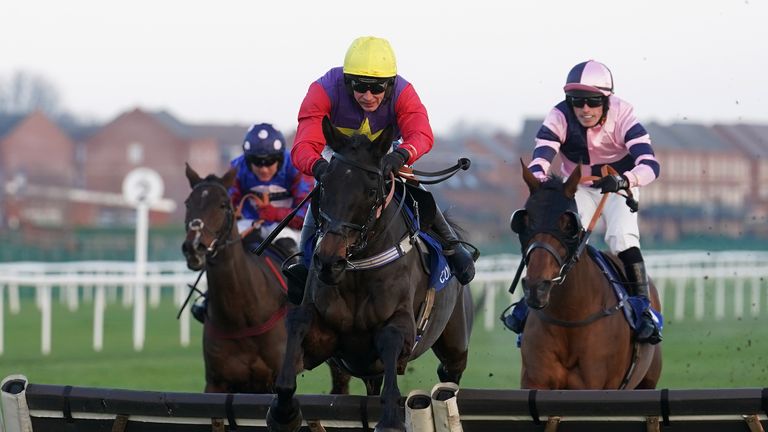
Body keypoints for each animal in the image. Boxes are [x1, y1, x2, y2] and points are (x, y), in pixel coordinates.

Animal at [182, 165, 350, 394]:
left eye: (223, 204)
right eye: (188, 203)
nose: (194, 247)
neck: (241, 316)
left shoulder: (271, 379)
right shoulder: (217, 382)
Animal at [268, 116, 474, 430]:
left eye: (371, 191)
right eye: (324, 186)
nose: (329, 261)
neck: (357, 271)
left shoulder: (402, 326)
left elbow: (390, 339)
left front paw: (390, 418)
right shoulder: (325, 340)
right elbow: (298, 324)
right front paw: (284, 412)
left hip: (456, 343)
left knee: (449, 374)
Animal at [510, 163, 660, 392]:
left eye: (568, 224)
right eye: (524, 222)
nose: (537, 288)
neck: (569, 317)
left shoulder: (595, 385)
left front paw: (614, 182)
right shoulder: (535, 381)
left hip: (647, 382)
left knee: (624, 241)